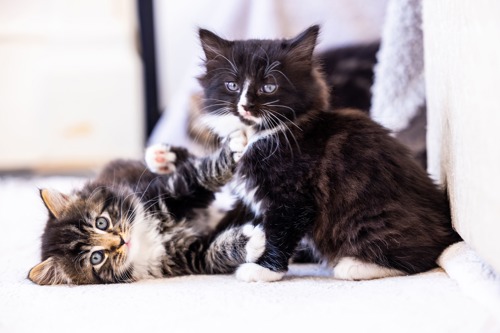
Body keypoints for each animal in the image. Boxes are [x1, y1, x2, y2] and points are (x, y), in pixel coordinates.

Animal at [28, 136, 266, 286]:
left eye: (101, 222)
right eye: (96, 258)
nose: (121, 241)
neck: (146, 238)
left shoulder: (165, 191)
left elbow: (199, 174)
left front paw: (233, 150)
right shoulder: (187, 256)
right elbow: (213, 251)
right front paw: (252, 240)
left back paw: (162, 156)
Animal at [198, 25, 460, 280]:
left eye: (269, 87)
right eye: (232, 85)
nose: (246, 106)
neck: (258, 135)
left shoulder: (294, 194)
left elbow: (279, 232)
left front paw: (264, 270)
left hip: (367, 219)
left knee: (420, 257)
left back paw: (354, 265)